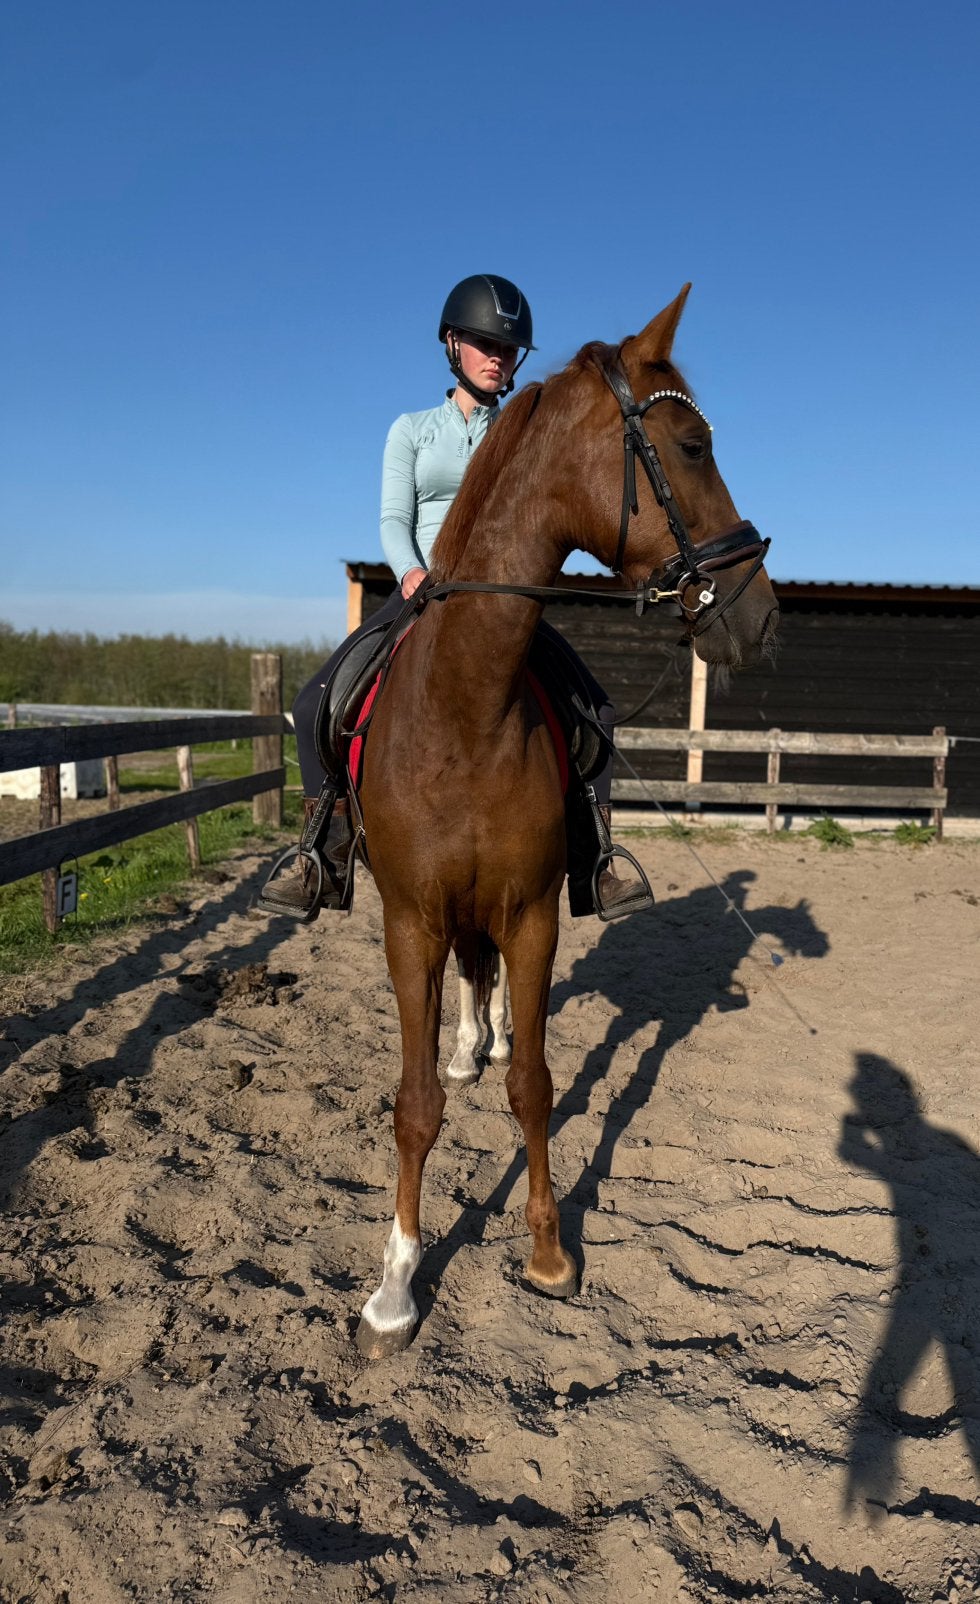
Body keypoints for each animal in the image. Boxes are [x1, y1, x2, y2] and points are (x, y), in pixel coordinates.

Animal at [354, 285, 778, 1358]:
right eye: (694, 445)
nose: (760, 616)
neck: (466, 704)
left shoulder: (533, 912)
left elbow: (536, 1086)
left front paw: (549, 1253)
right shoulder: (409, 921)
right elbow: (414, 1104)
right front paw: (395, 1286)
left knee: (492, 992)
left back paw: (487, 1041)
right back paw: (468, 1046)